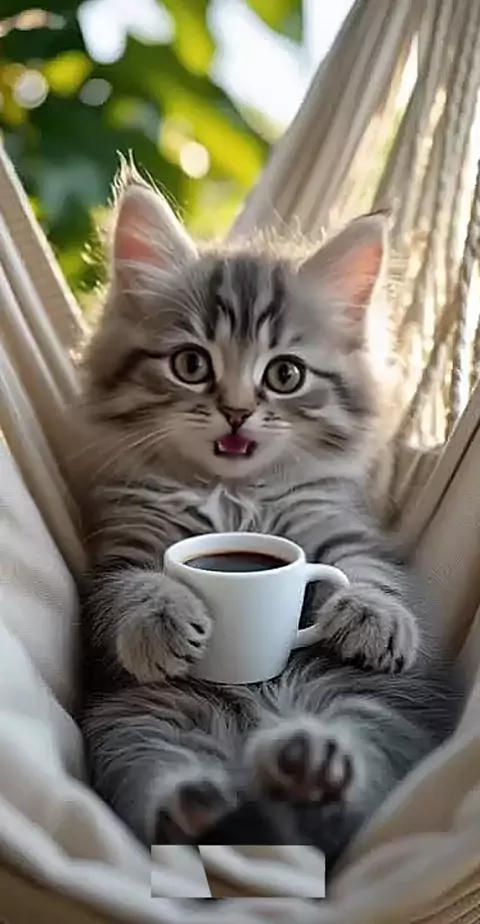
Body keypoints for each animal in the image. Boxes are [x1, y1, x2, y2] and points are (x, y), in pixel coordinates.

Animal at [77, 167, 459, 869]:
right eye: (191, 364)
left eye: (285, 374)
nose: (235, 413)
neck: (234, 494)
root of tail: (252, 739)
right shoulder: (125, 543)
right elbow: (132, 587)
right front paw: (159, 619)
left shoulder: (335, 521)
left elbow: (366, 572)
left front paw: (373, 617)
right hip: (138, 720)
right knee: (158, 785)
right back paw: (200, 801)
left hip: (370, 709)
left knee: (350, 798)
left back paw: (308, 768)